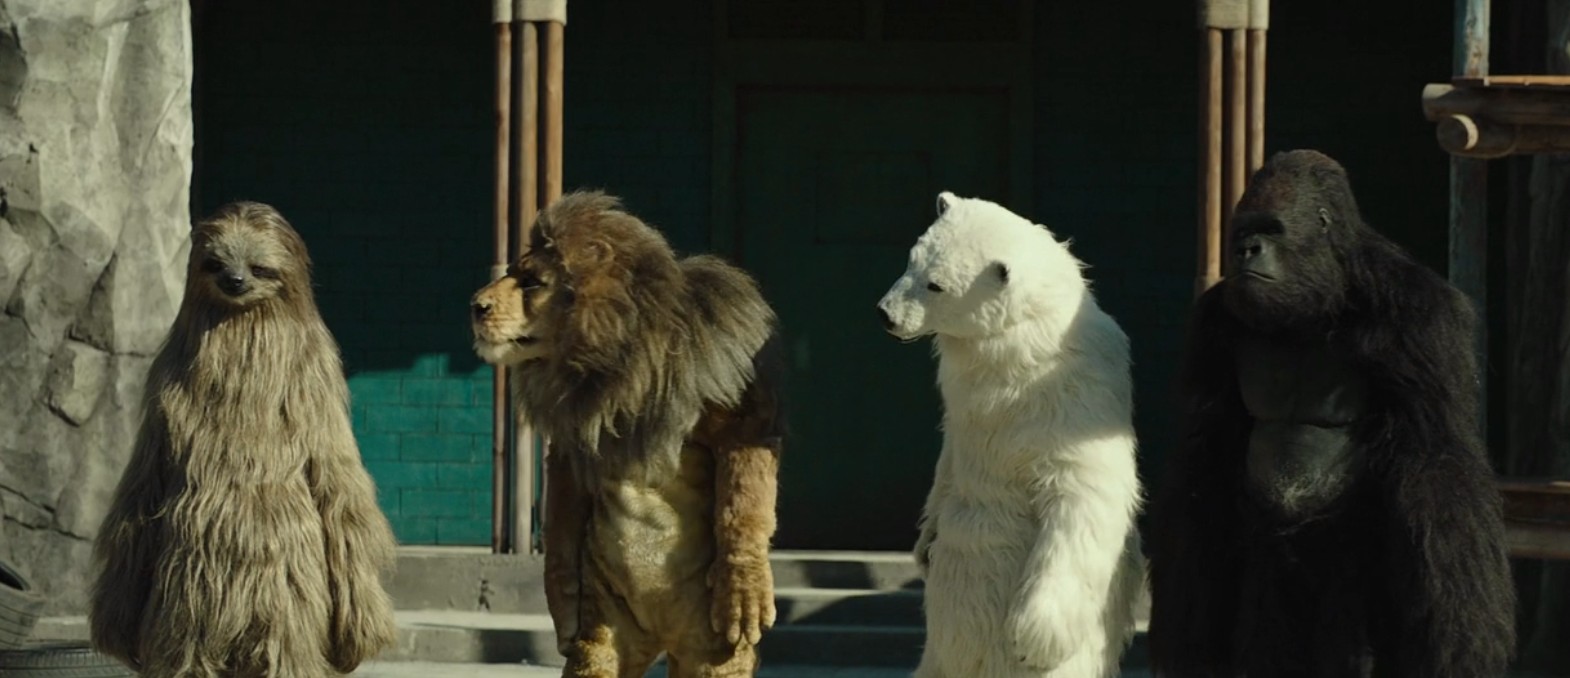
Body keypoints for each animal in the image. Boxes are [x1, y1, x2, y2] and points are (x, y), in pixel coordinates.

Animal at [89, 200, 401, 678]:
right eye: (214, 263)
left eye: (259, 267)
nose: (234, 281)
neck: (243, 337)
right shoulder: (166, 387)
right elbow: (138, 506)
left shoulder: (317, 382)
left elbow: (342, 502)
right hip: (191, 601)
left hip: (276, 594)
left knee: (285, 649)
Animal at [464, 192, 785, 678]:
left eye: (533, 282)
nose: (476, 305)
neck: (615, 365)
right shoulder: (571, 444)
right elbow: (562, 522)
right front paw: (560, 601)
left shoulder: (739, 413)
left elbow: (742, 496)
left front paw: (743, 587)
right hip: (607, 628)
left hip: (709, 650)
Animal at [879, 189, 1149, 678]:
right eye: (911, 260)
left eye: (936, 285)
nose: (885, 315)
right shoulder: (965, 411)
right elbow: (949, 460)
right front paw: (923, 545)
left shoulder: (1071, 402)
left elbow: (1083, 489)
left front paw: (1034, 636)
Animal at [1149, 149, 1513, 678]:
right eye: (1243, 231)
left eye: (1272, 229)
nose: (1246, 251)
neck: (1325, 293)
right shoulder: (1210, 325)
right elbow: (1206, 459)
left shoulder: (1422, 311)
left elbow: (1438, 461)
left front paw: (1458, 643)